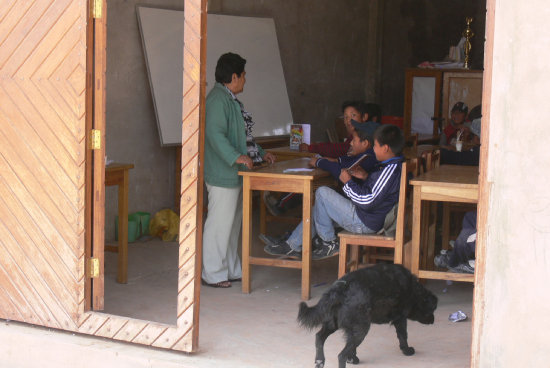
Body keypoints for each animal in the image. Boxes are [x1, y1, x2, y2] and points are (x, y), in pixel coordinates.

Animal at [298, 264, 440, 366]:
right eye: (432, 310)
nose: (433, 321)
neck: (414, 290)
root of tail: (340, 288)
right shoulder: (400, 318)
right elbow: (403, 335)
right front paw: (407, 350)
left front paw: (352, 358)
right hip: (362, 329)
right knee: (341, 355)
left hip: (333, 324)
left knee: (319, 338)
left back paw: (320, 361)